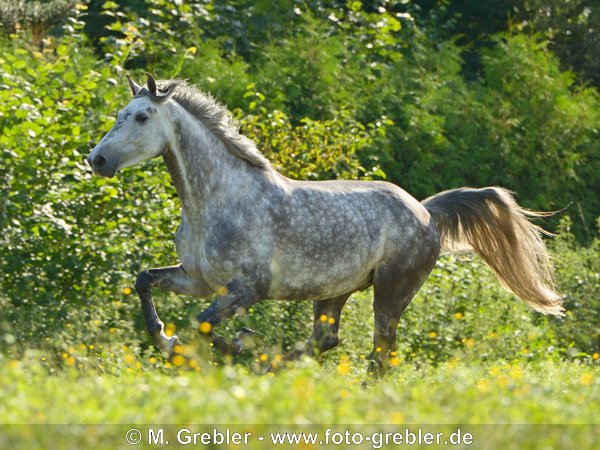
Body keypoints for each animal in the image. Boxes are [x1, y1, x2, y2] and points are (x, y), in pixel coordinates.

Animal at [86, 74, 564, 376]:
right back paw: (272, 366)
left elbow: (202, 324)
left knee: (381, 354)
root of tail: (426, 212)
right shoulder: (199, 280)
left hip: (391, 293)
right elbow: (146, 281)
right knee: (327, 341)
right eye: (119, 113)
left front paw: (229, 342)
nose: (98, 160)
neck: (218, 200)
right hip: (333, 293)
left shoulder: (246, 289)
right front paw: (171, 341)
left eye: (141, 116)